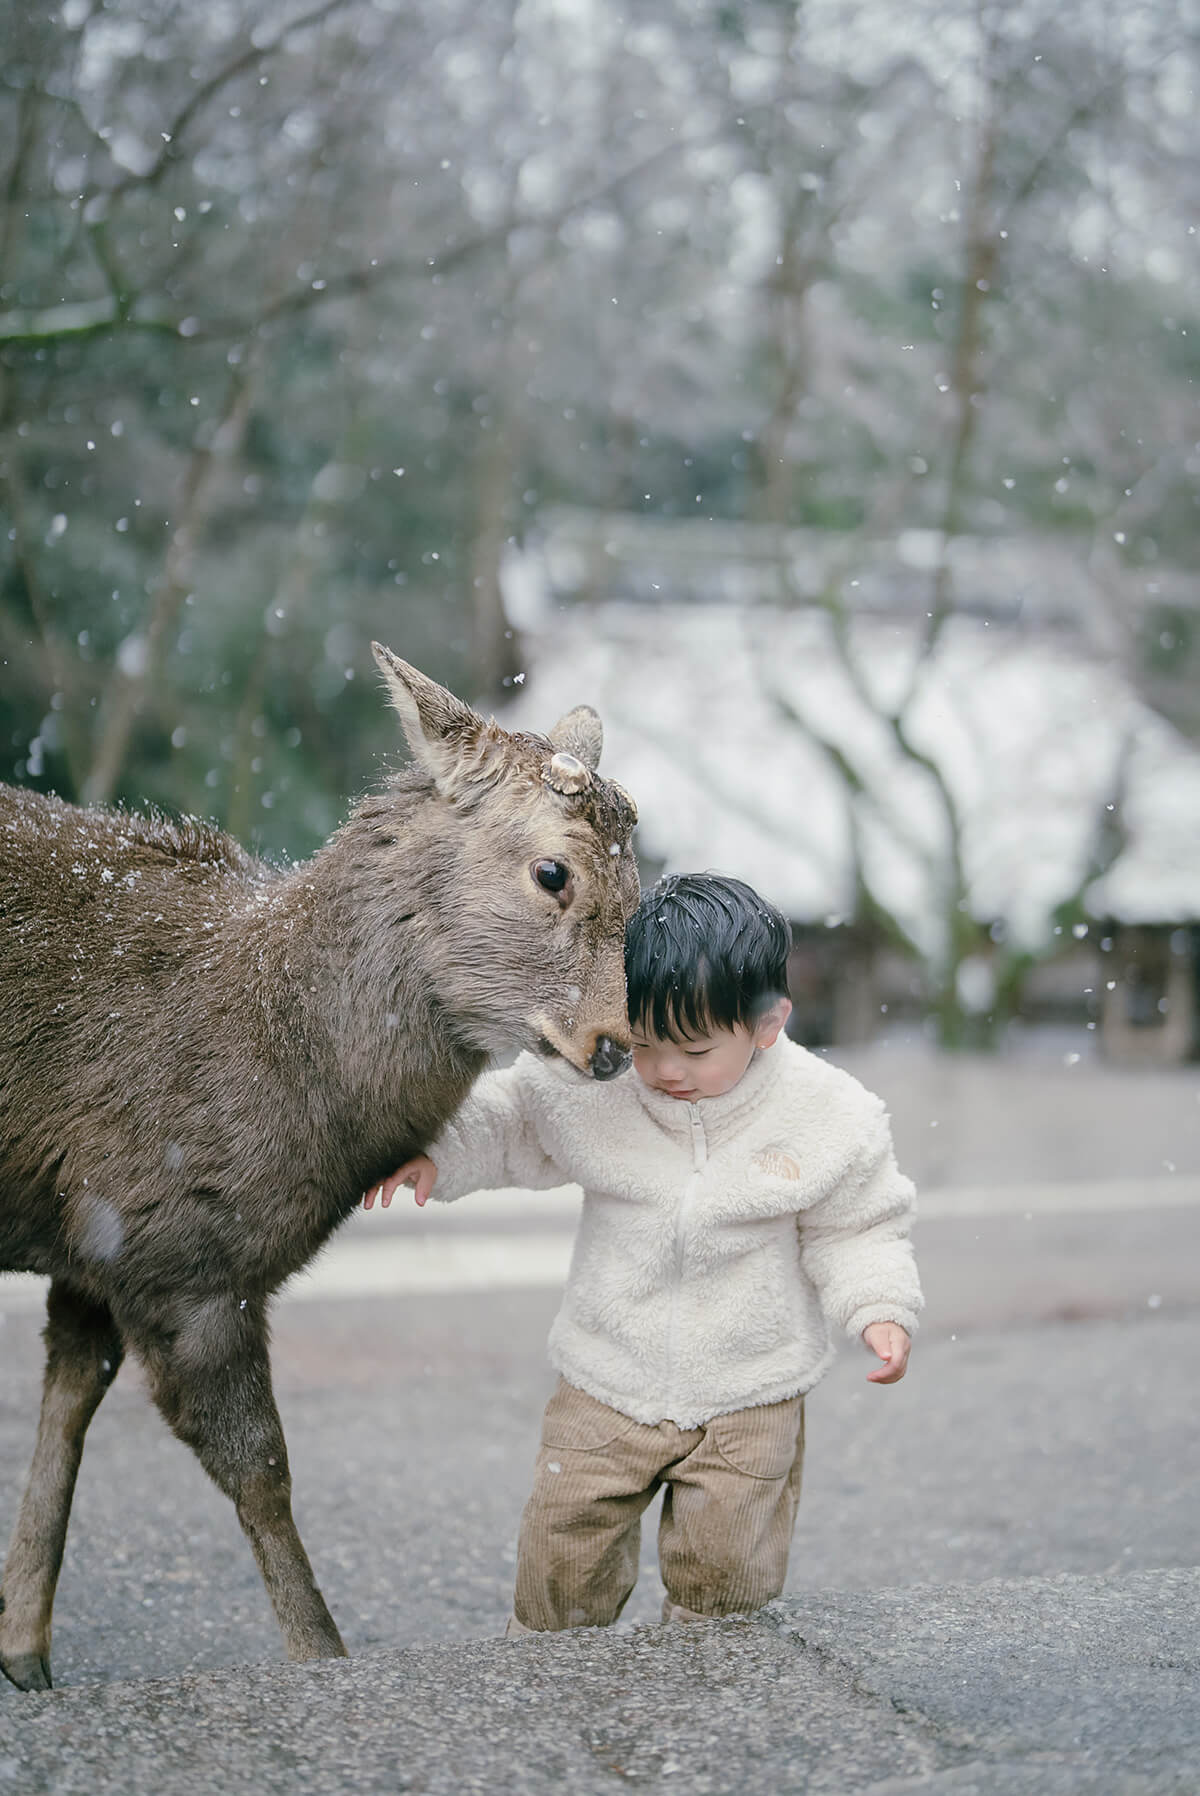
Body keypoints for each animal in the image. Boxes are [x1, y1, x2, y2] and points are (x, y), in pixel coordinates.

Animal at [0, 646, 643, 1681]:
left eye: (643, 877)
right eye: (554, 871)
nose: (616, 1044)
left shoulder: (91, 1245)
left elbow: (68, 1396)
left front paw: (23, 1648)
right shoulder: (178, 1255)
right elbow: (261, 1472)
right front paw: (321, 1655)